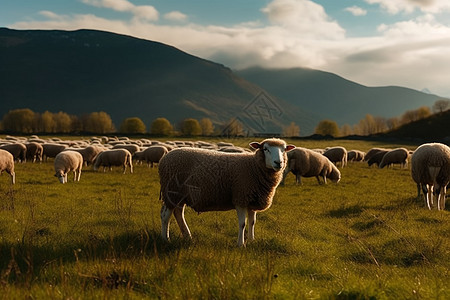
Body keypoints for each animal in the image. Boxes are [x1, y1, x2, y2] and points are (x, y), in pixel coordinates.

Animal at [158, 138, 296, 246]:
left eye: (284, 149)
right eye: (266, 149)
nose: (278, 163)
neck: (254, 167)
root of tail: (165, 157)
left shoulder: (252, 200)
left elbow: (252, 222)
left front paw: (252, 241)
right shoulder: (240, 198)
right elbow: (242, 223)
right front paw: (241, 244)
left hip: (179, 195)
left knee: (178, 213)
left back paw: (187, 236)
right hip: (172, 191)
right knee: (165, 216)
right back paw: (165, 239)